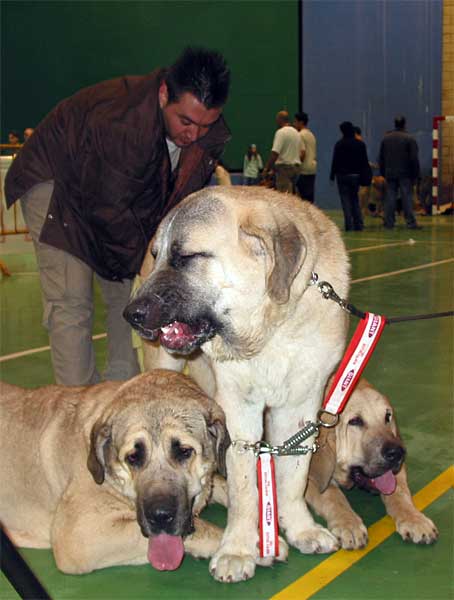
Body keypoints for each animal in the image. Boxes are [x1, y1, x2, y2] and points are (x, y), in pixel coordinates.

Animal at [0, 370, 229, 572]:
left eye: (183, 451)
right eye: (133, 457)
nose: (160, 516)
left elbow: (224, 487)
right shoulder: (79, 536)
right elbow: (207, 530)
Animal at [124, 188, 352, 580]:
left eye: (186, 257)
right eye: (157, 256)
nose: (131, 313)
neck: (273, 331)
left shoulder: (301, 406)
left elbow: (293, 476)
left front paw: (301, 528)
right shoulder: (238, 410)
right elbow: (245, 489)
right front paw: (238, 549)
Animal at [306, 380, 438, 548]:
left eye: (387, 416)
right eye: (355, 421)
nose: (397, 453)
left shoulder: (398, 472)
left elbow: (399, 493)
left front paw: (415, 519)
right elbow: (333, 496)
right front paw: (349, 523)